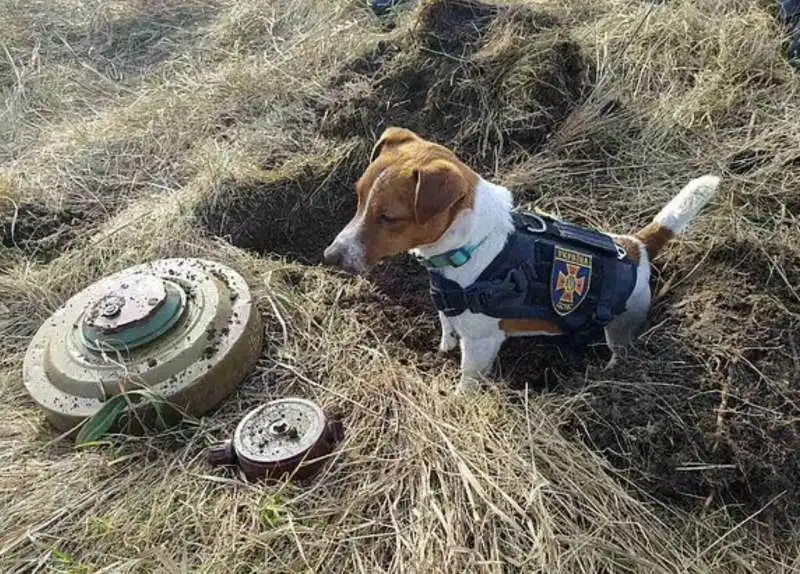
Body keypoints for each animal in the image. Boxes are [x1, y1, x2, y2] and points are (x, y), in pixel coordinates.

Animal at [322, 127, 720, 394]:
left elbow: (468, 378)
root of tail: (636, 246)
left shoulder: (481, 344)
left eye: (389, 217)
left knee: (619, 351)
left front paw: (458, 398)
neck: (471, 244)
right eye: (358, 197)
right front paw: (442, 349)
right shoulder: (448, 308)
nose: (330, 256)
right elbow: (447, 328)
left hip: (623, 325)